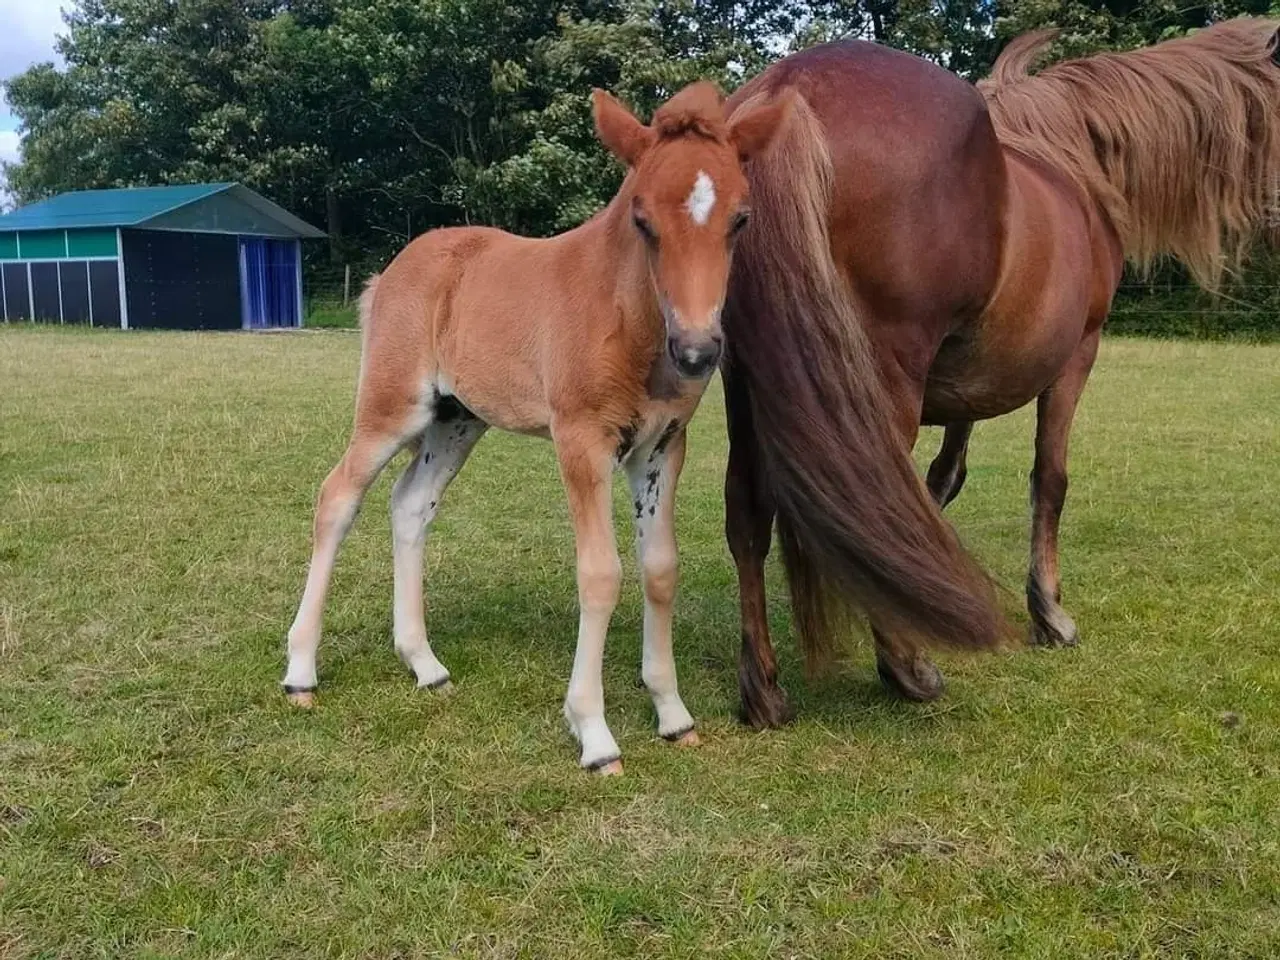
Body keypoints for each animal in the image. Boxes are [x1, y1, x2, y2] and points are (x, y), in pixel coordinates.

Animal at [285, 80, 793, 773]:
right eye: (642, 219)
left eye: (740, 219)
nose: (696, 352)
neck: (626, 313)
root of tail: (393, 269)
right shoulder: (581, 440)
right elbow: (601, 573)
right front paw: (594, 733)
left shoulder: (662, 448)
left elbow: (660, 568)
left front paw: (672, 714)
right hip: (393, 407)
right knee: (338, 496)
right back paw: (301, 672)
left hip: (457, 420)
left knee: (411, 504)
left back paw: (425, 664)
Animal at [721, 18, 1280, 727]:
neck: (1074, 156)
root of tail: (790, 89)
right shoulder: (1077, 357)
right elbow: (1050, 479)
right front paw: (1050, 614)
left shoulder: (966, 381)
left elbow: (943, 480)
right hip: (880, 381)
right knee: (877, 503)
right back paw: (907, 667)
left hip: (745, 381)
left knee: (750, 512)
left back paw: (764, 690)